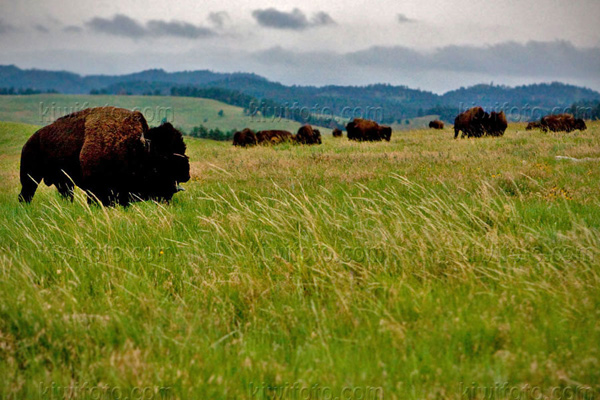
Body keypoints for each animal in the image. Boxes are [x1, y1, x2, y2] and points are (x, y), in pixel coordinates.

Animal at [18, 106, 189, 206]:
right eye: (163, 159)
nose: (186, 174)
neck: (136, 147)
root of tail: (29, 141)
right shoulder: (96, 189)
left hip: (64, 183)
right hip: (30, 177)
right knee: (26, 194)